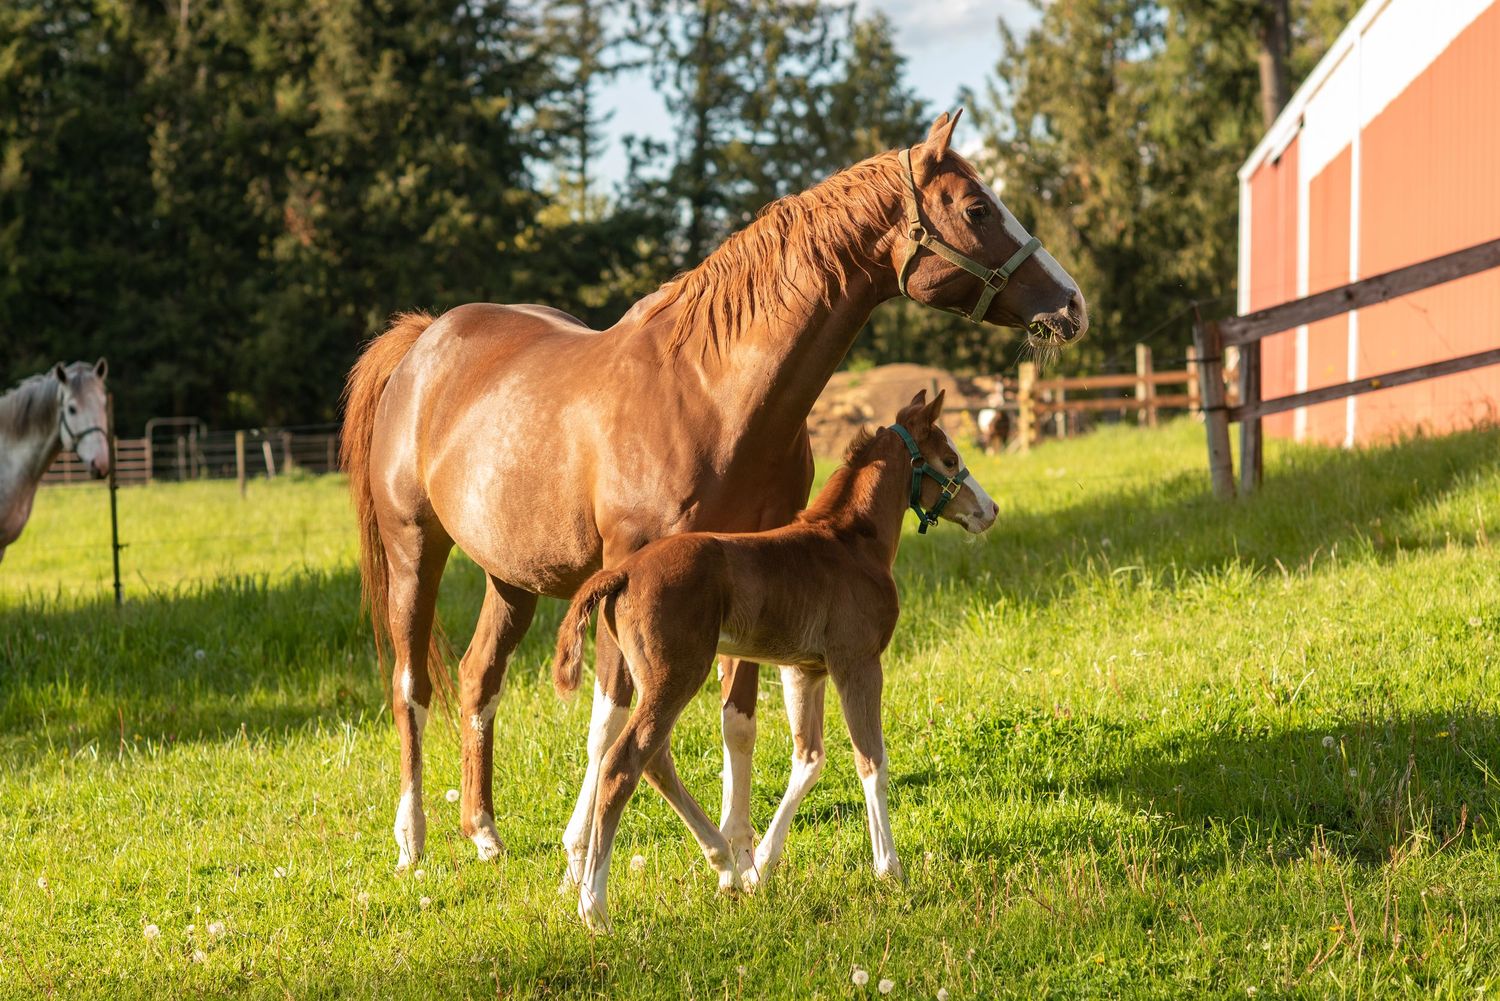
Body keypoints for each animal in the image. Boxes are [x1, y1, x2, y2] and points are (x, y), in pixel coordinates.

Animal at [550, 389, 991, 930]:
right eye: (948, 460)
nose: (989, 510)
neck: (850, 544)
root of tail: (624, 572)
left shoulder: (805, 669)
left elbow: (810, 758)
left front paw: (761, 864)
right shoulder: (858, 662)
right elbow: (871, 760)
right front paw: (890, 868)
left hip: (657, 676)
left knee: (655, 759)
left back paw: (725, 864)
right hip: (679, 673)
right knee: (623, 762)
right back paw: (594, 907)